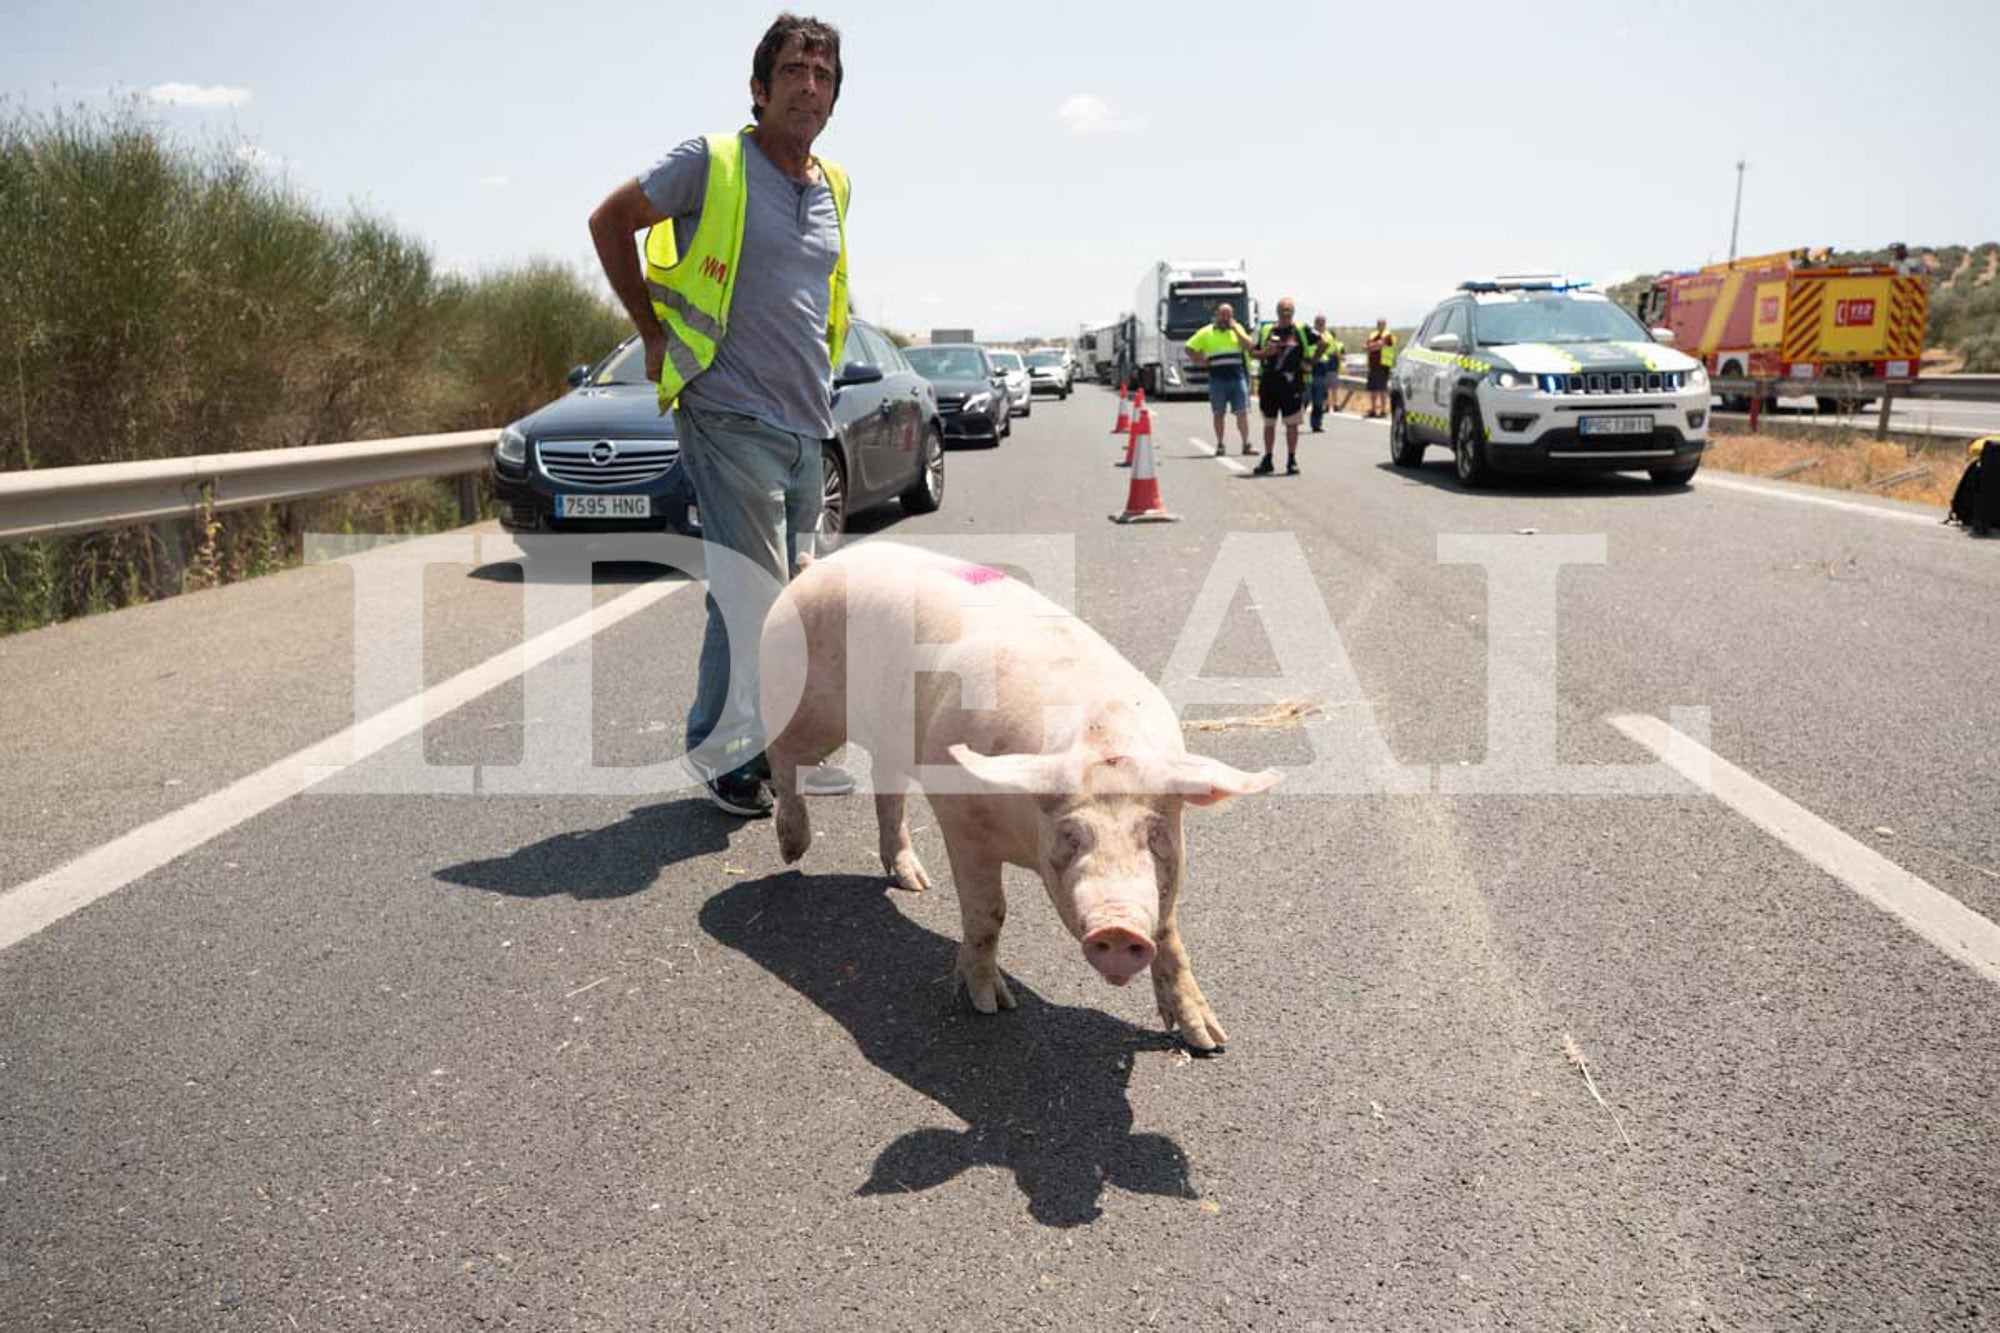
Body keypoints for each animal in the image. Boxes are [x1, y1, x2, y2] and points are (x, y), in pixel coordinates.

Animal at [756, 540, 1272, 1048]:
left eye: (1155, 835)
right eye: (1071, 836)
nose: (1119, 928)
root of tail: (815, 566)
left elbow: (1167, 932)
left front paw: (1209, 1040)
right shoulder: (962, 823)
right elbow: (988, 913)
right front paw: (991, 1006)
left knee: (887, 789)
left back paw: (916, 882)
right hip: (801, 702)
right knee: (783, 757)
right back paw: (792, 850)